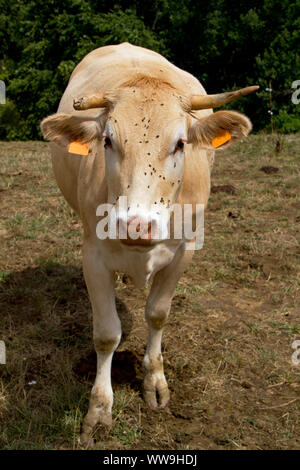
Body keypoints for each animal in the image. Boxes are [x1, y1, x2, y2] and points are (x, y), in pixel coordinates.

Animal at [40, 42, 258, 446]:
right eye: (108, 140)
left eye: (181, 143)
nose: (135, 225)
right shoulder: (92, 256)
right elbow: (106, 334)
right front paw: (99, 410)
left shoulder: (183, 251)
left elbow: (157, 313)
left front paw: (154, 380)